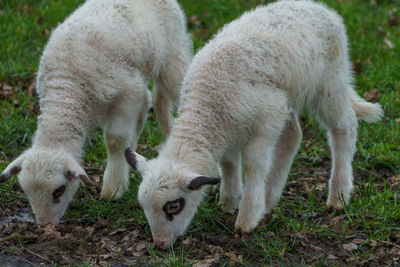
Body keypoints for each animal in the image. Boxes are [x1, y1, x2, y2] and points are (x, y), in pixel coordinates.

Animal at [0, 0, 192, 229]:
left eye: (59, 191)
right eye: (26, 192)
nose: (45, 225)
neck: (66, 90)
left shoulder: (126, 93)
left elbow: (115, 140)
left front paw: (113, 189)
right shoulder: (130, 92)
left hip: (173, 57)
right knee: (146, 101)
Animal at [124, 0, 382, 249]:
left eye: (174, 206)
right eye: (144, 206)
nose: (159, 244)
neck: (207, 105)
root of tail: (320, 8)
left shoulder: (267, 117)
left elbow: (253, 163)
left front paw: (247, 217)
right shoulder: (234, 126)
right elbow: (228, 162)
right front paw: (229, 201)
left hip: (329, 81)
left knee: (344, 128)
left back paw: (338, 195)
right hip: (289, 95)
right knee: (293, 136)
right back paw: (271, 196)